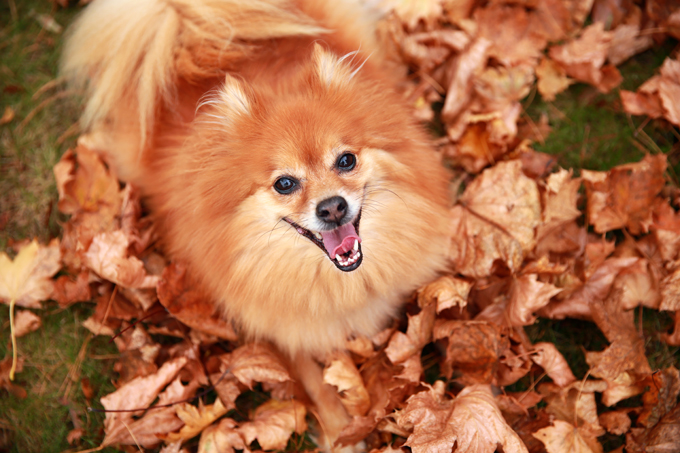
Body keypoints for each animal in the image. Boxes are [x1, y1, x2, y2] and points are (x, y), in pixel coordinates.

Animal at [62, 0, 452, 448]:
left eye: (346, 160)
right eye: (285, 183)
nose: (332, 207)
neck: (332, 282)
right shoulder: (271, 323)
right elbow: (312, 377)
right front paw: (341, 430)